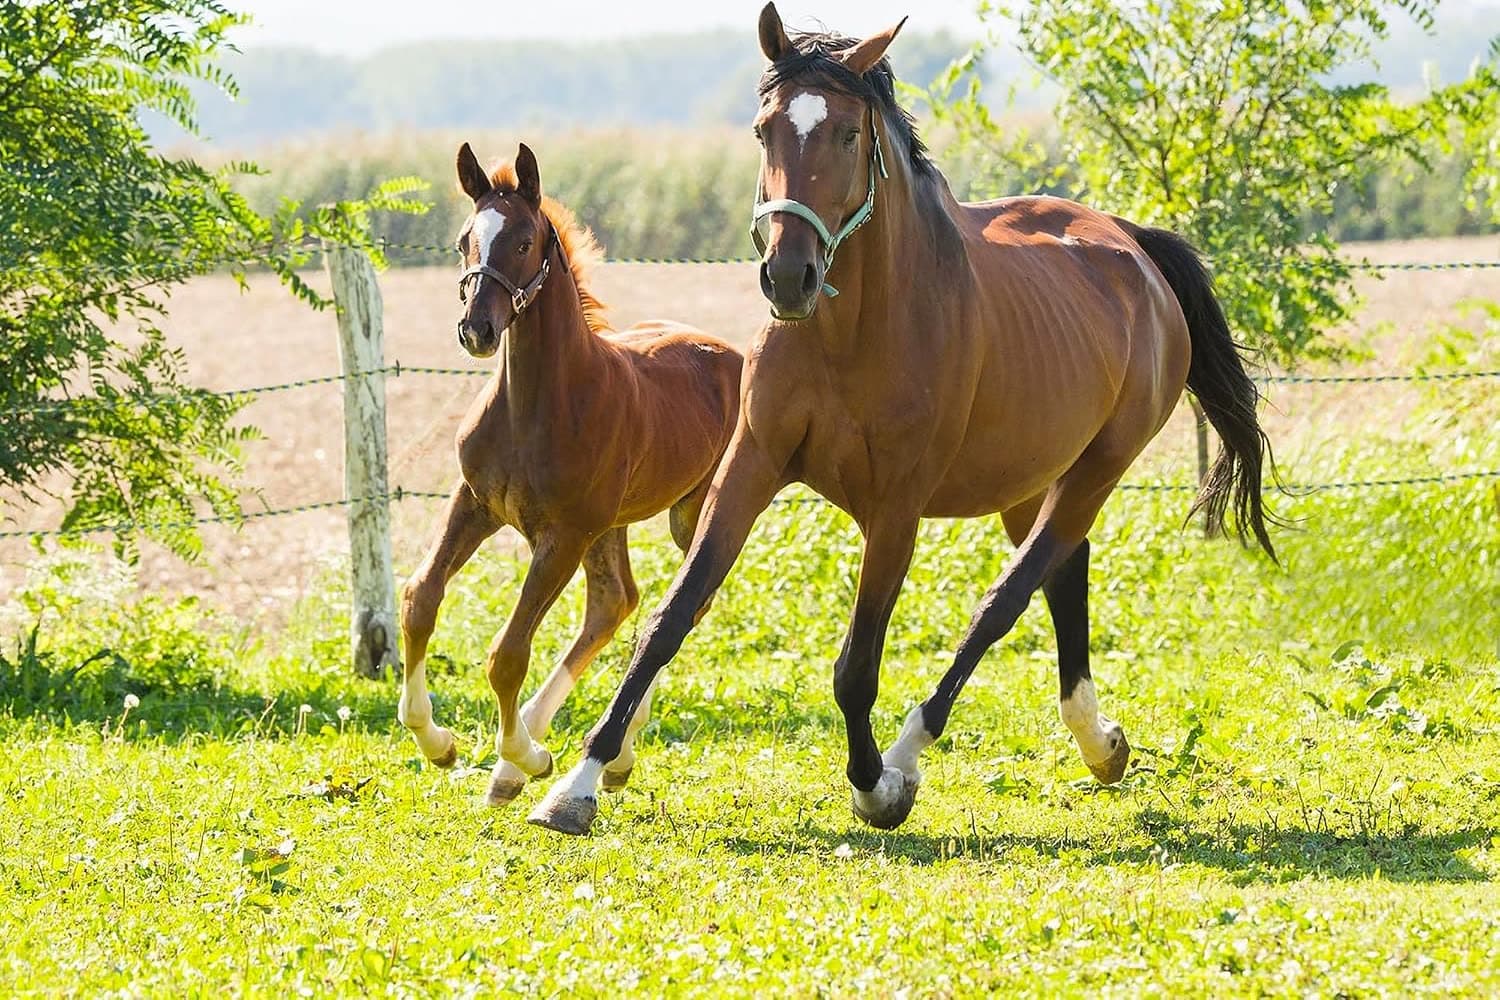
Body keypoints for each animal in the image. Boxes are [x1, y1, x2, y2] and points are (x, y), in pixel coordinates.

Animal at [397, 141, 743, 808]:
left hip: (687, 516)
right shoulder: (473, 502)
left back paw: (595, 754)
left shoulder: (562, 536)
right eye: (463, 241)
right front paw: (438, 742)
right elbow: (420, 599)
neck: (537, 404)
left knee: (681, 605)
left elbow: (507, 652)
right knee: (616, 602)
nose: (476, 329)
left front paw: (526, 756)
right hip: (611, 525)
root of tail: (736, 355)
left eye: (525, 241)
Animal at [530, 4, 1277, 836]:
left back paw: (917, 751)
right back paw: (1100, 743)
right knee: (1063, 575)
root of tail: (1133, 248)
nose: (789, 277)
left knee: (1007, 600)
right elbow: (671, 617)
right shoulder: (751, 465)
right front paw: (579, 784)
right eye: (764, 130)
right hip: (1030, 478)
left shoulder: (895, 508)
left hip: (1098, 469)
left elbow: (856, 666)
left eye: (847, 134)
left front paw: (876, 786)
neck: (849, 334)